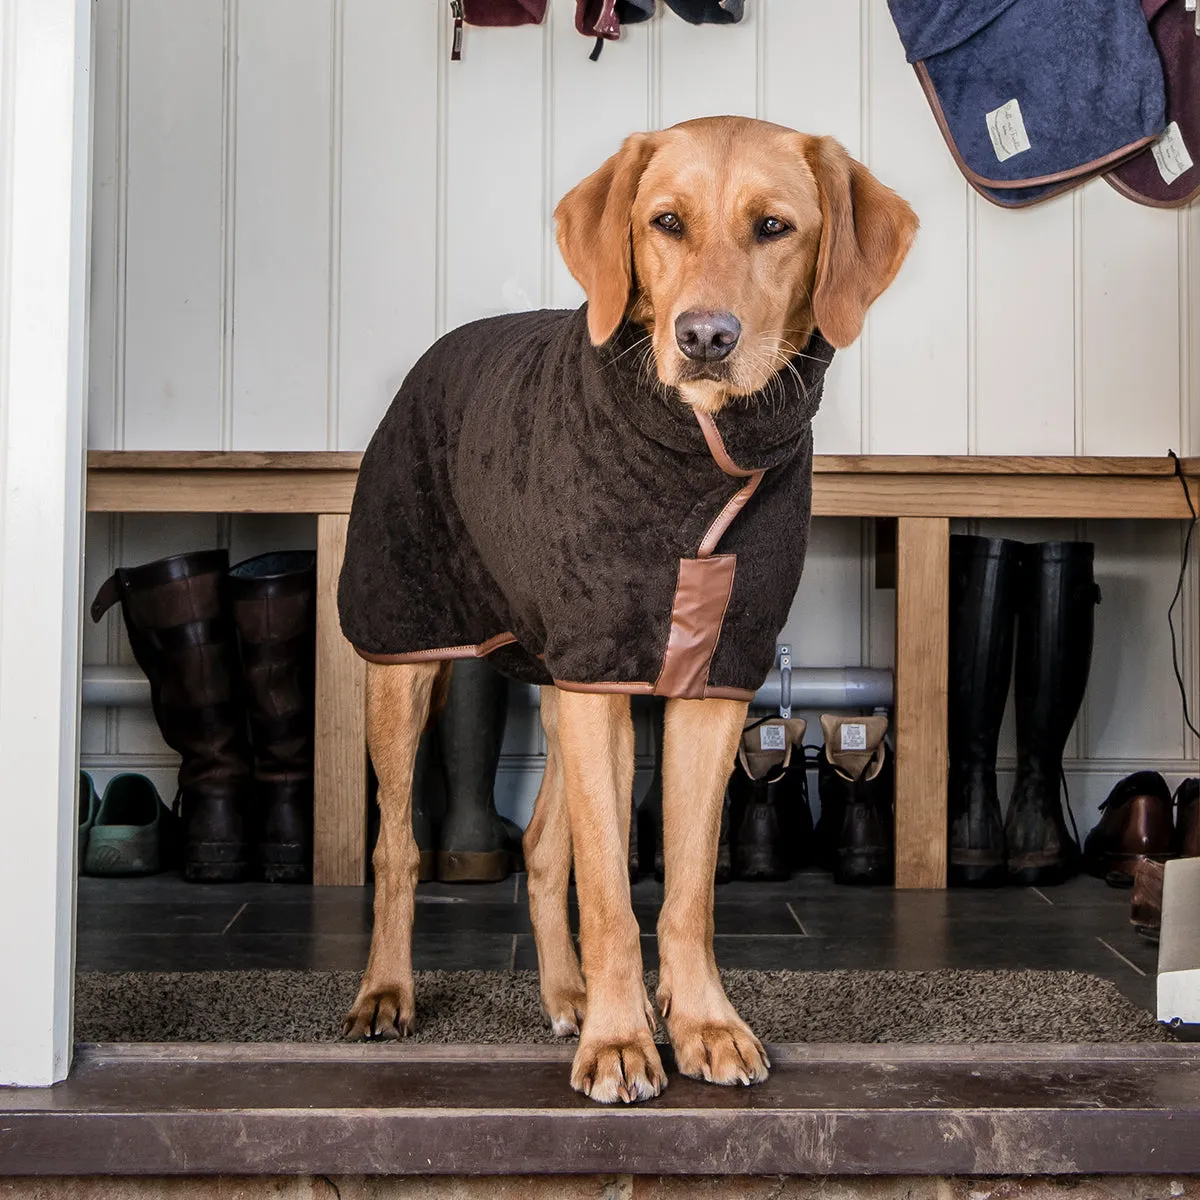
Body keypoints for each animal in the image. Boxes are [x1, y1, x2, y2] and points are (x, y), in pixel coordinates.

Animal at [338, 117, 916, 1099]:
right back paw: (387, 992)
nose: (706, 337)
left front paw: (701, 1022)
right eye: (666, 222)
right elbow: (610, 891)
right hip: (407, 644)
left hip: (565, 674)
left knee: (543, 847)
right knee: (399, 849)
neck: (701, 456)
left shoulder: (708, 678)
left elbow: (685, 891)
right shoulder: (599, 673)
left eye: (774, 227)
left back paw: (569, 995)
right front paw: (618, 1042)